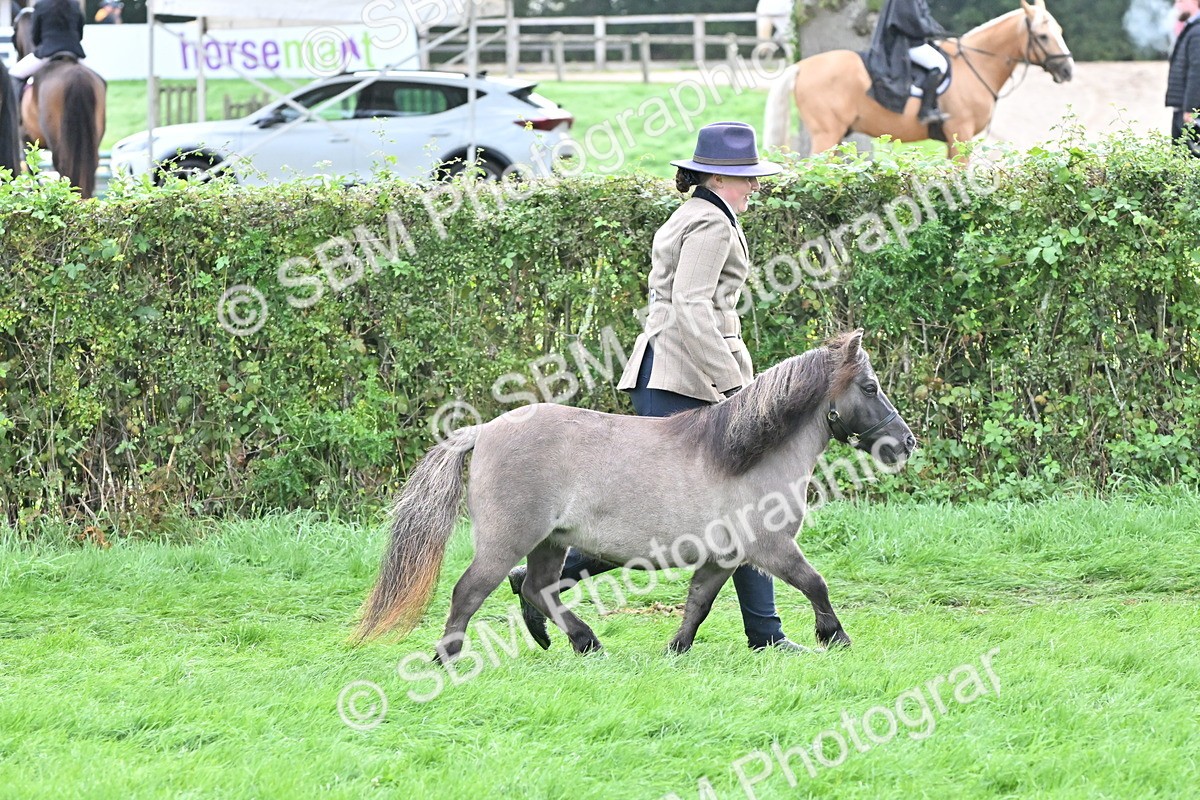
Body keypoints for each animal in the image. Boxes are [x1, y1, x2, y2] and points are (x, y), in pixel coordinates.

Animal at [356, 331, 915, 662]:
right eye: (870, 387)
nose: (906, 443)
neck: (747, 455)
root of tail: (483, 431)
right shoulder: (771, 548)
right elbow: (815, 584)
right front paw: (834, 637)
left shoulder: (724, 557)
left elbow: (698, 603)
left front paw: (676, 649)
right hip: (506, 542)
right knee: (468, 593)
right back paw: (446, 659)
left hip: (551, 542)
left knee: (537, 589)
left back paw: (584, 643)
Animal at [764, 0, 1074, 158]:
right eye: (1043, 36)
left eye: (1059, 30)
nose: (1068, 70)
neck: (977, 64)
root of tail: (801, 66)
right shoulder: (960, 135)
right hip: (826, 135)